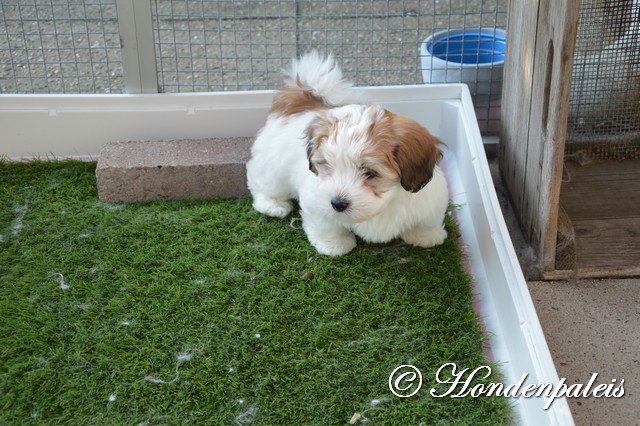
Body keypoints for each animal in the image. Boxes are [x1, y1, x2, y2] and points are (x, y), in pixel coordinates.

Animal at [246, 51, 450, 255]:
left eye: (370, 173)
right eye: (327, 167)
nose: (337, 203)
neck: (387, 202)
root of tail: (300, 98)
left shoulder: (430, 200)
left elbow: (428, 220)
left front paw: (425, 236)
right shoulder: (316, 201)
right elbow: (326, 223)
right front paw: (334, 244)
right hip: (272, 165)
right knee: (264, 183)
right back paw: (273, 204)